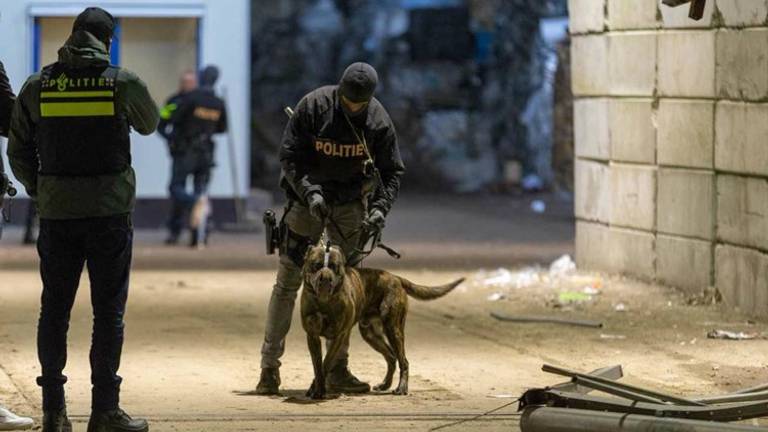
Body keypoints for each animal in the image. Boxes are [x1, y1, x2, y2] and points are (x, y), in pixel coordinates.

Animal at [300, 241, 462, 400]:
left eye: (334, 266)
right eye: (316, 265)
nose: (326, 278)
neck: (324, 302)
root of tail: (395, 277)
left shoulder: (338, 336)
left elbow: (325, 364)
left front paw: (318, 390)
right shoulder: (312, 337)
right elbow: (317, 366)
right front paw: (316, 389)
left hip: (393, 329)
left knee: (403, 361)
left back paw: (401, 388)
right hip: (371, 334)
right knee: (391, 357)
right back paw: (385, 385)